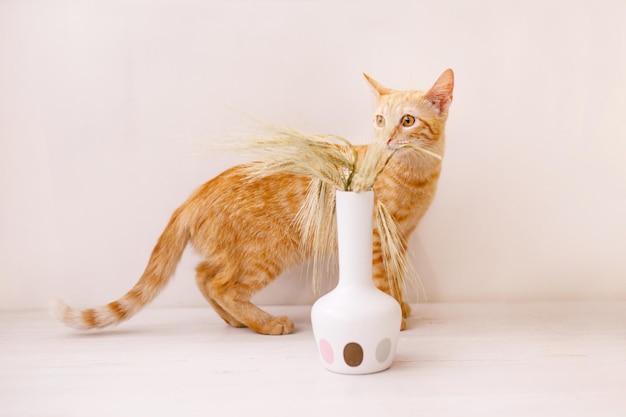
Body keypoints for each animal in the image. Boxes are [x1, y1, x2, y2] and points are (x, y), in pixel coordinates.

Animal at [53, 68, 450, 334]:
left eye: (408, 121)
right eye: (380, 120)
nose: (387, 139)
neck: (415, 175)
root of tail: (193, 197)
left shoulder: (401, 238)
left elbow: (396, 276)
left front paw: (400, 306)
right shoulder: (378, 237)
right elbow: (382, 278)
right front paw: (395, 315)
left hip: (234, 254)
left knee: (203, 275)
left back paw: (235, 320)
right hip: (267, 254)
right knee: (221, 285)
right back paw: (266, 322)